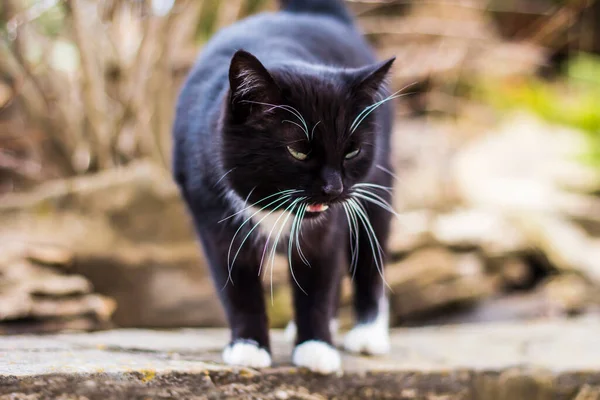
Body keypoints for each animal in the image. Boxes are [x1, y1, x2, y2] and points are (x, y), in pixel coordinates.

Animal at [173, 0, 396, 376]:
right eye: (299, 151)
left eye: (352, 151)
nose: (334, 188)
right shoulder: (212, 218)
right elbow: (237, 284)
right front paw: (248, 347)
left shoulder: (328, 225)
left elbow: (318, 276)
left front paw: (316, 347)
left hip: (376, 188)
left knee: (368, 257)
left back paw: (367, 333)